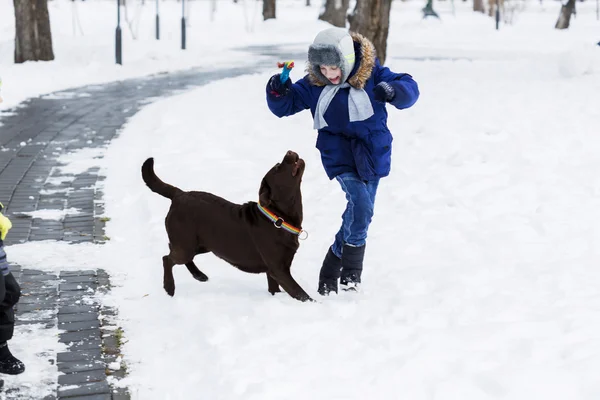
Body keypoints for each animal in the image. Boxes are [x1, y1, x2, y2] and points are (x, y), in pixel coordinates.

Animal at [139, 152, 312, 302]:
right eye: (277, 168)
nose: (289, 151)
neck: (277, 218)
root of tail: (179, 195)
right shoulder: (279, 270)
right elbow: (301, 294)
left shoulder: (273, 271)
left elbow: (274, 289)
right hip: (186, 245)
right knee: (167, 258)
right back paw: (169, 288)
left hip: (202, 245)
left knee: (177, 254)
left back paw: (199, 275)